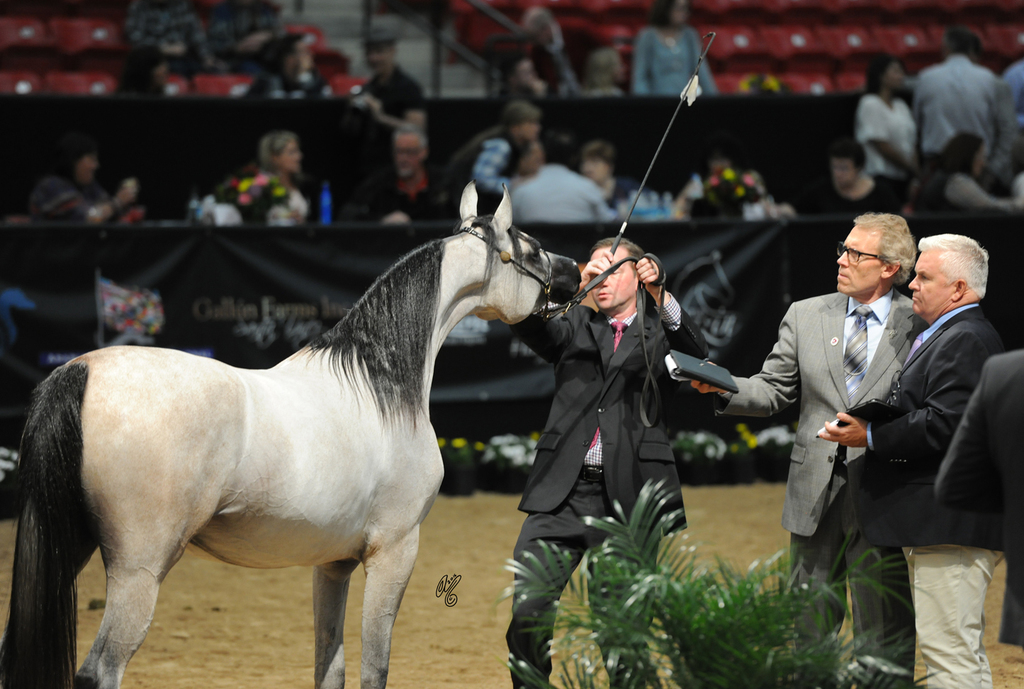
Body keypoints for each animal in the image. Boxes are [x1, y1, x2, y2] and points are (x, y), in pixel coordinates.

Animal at [0, 182, 581, 689]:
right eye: (531, 247)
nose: (576, 271)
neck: (381, 387)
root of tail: (80, 371)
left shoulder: (332, 563)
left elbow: (331, 667)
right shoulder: (394, 551)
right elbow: (374, 669)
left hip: (68, 548)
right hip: (138, 570)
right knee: (100, 671)